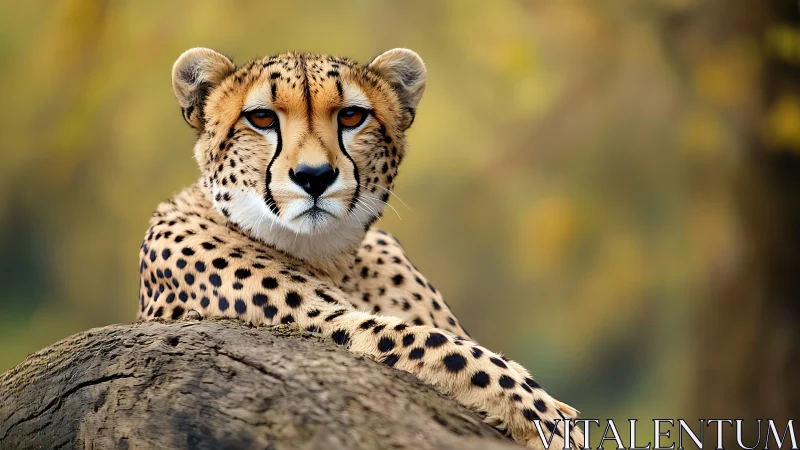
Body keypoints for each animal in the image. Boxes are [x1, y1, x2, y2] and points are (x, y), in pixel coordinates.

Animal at [137, 47, 584, 449]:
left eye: (352, 116)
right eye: (261, 117)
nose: (314, 176)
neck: (330, 257)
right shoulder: (319, 325)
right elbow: (441, 347)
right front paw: (547, 417)